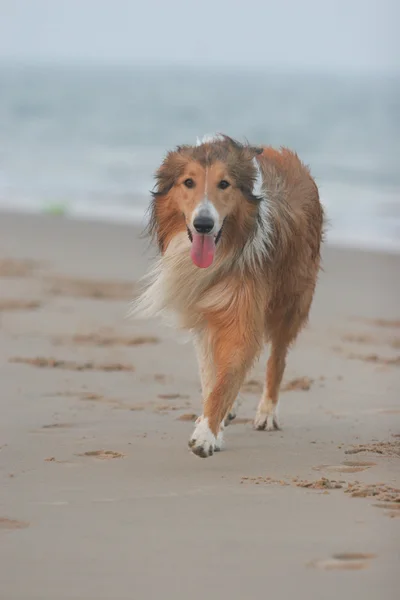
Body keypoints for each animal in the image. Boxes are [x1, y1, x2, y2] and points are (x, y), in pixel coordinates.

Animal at [132, 134, 324, 458]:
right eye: (188, 182)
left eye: (224, 184)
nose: (204, 224)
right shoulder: (204, 314)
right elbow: (213, 377)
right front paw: (214, 423)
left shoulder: (242, 315)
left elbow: (226, 379)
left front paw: (206, 434)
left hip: (291, 300)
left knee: (277, 358)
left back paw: (267, 413)